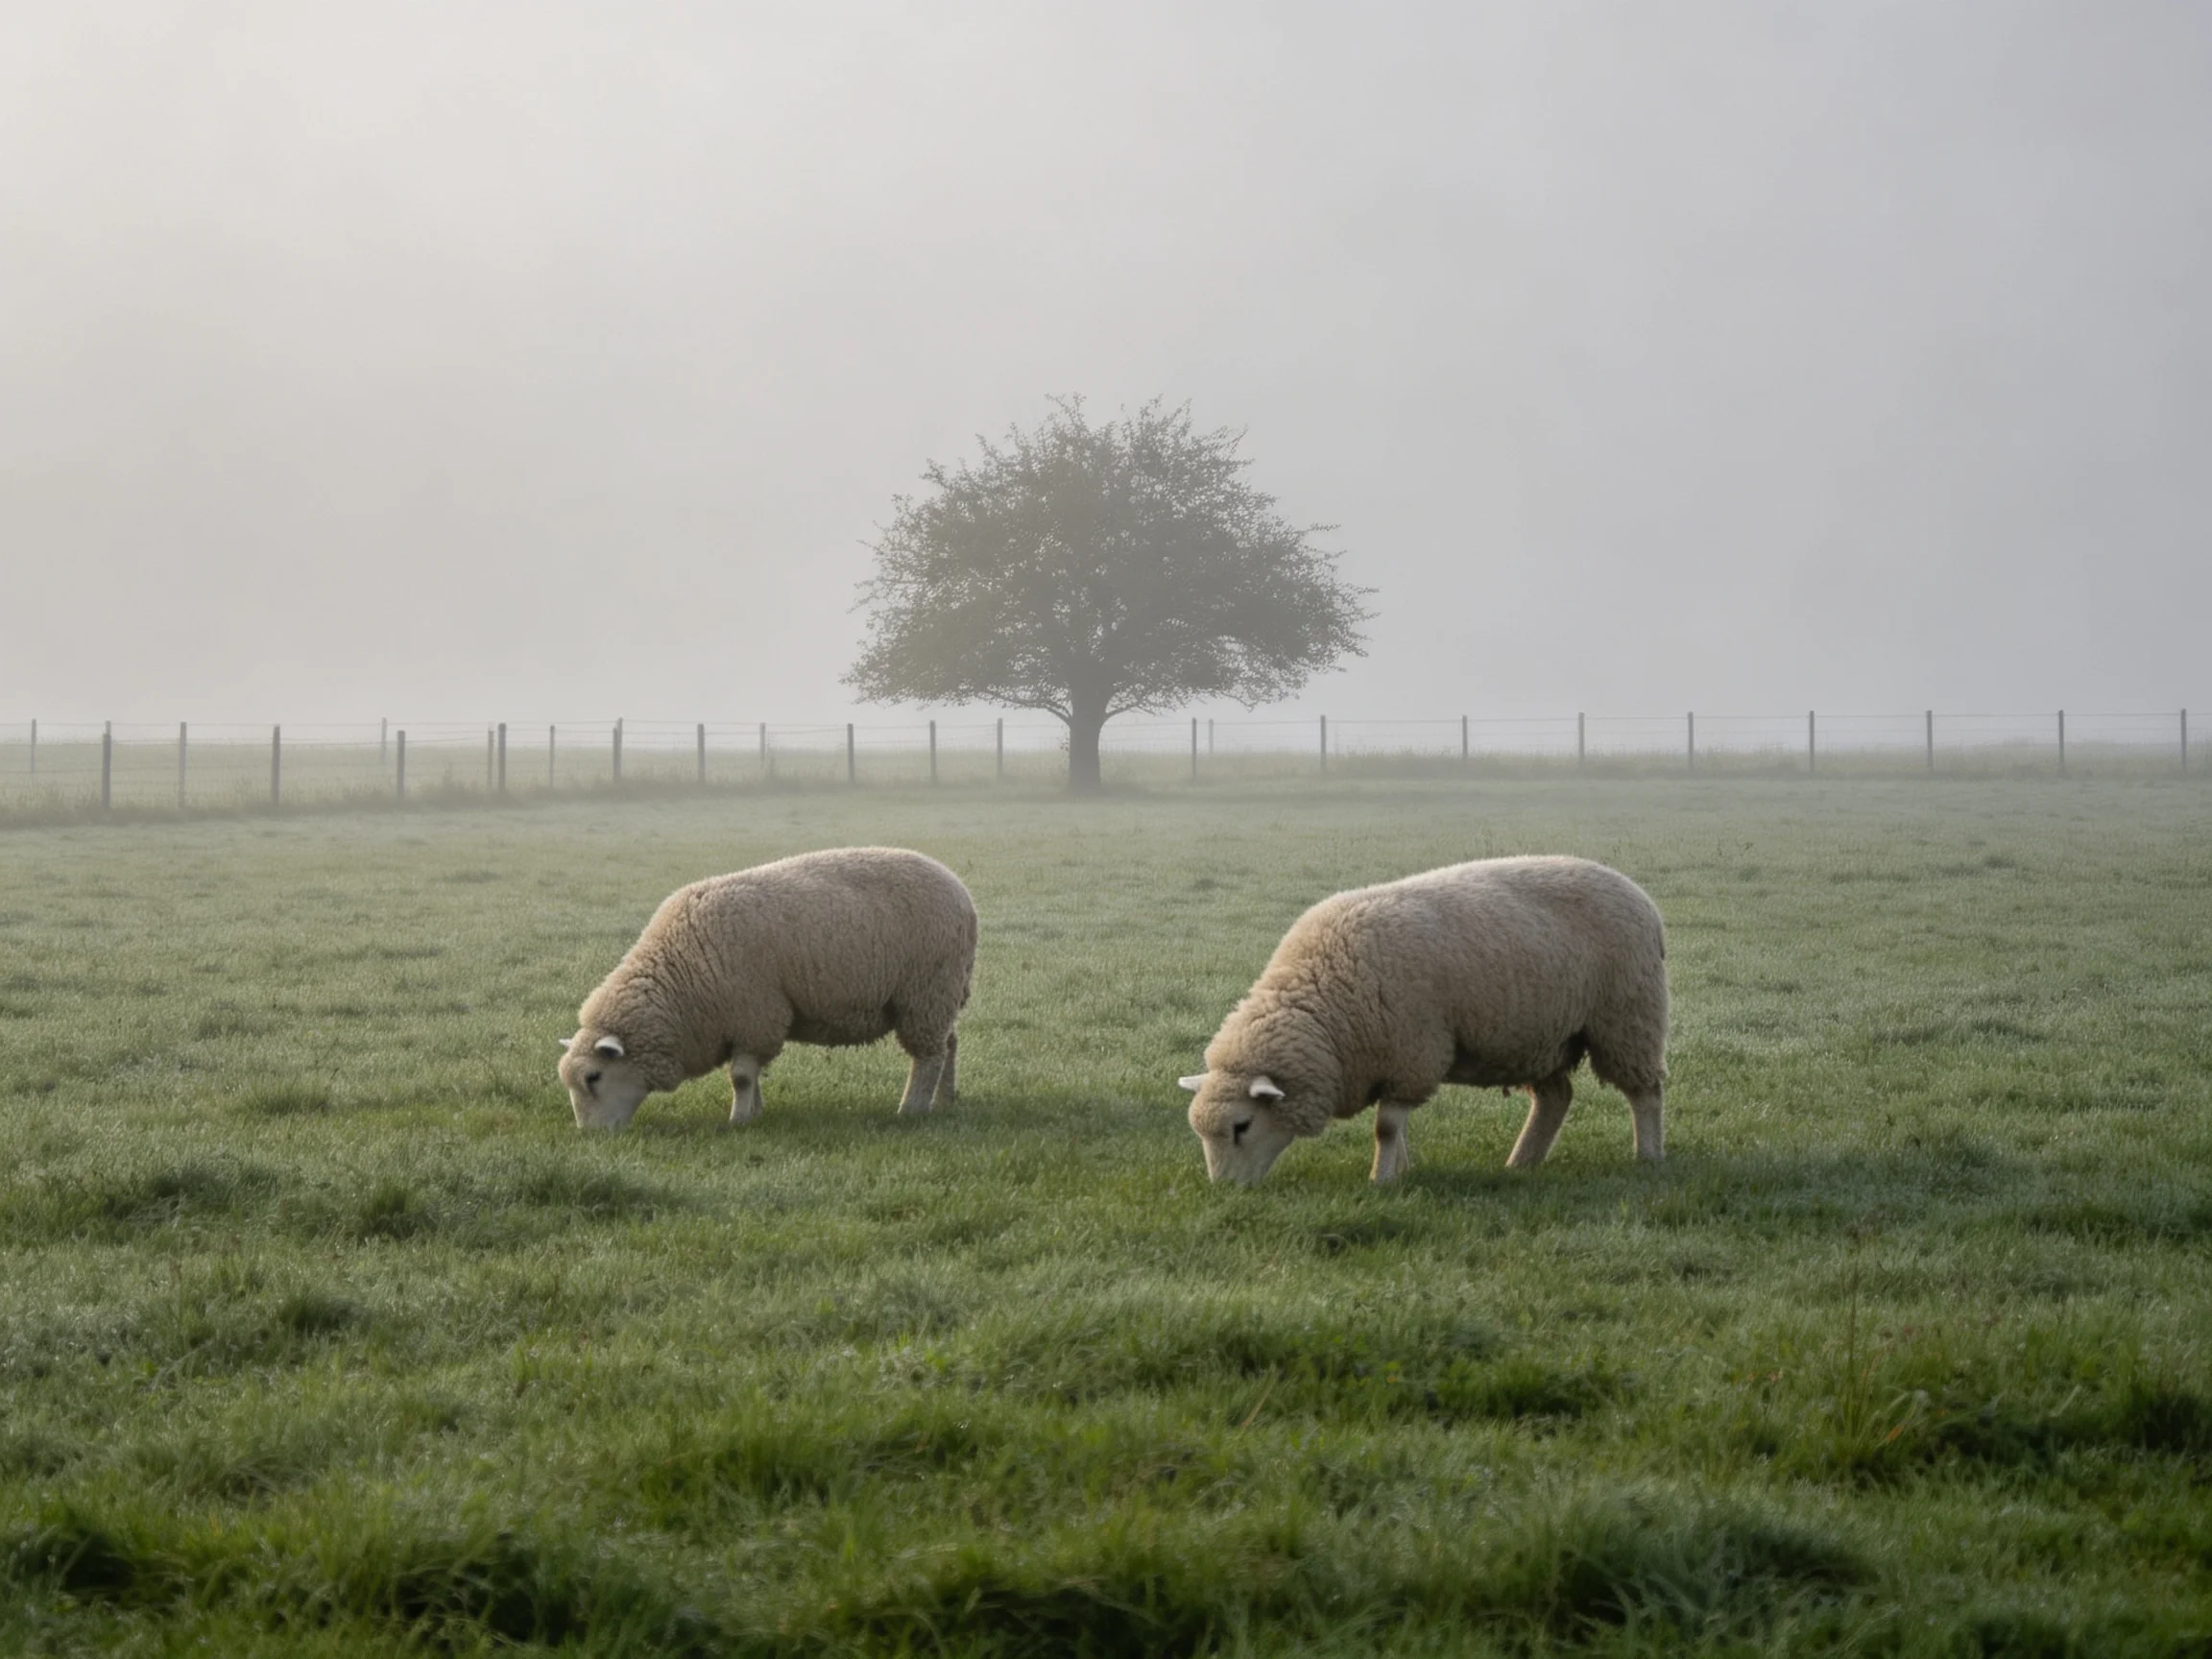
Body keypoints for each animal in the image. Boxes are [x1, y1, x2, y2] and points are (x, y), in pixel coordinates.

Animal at [558, 847, 977, 1130]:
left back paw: (913, 1108)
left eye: (593, 1077)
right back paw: (945, 1099)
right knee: (949, 1044)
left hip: (927, 991)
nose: (590, 1134)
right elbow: (749, 1073)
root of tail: (959, 888)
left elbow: (741, 1076)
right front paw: (754, 1111)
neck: (678, 978)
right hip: (940, 995)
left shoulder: (755, 1016)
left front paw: (740, 1120)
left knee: (928, 1056)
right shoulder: (742, 1025)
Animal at [1178, 856, 1667, 1184]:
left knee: (1645, 1093)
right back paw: (1521, 1163)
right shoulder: (1395, 1060)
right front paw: (1402, 1170)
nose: (1224, 1189)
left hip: (1627, 1019)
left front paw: (1381, 1179)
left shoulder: (1412, 1054)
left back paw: (1647, 1156)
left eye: (1241, 1126)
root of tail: (1634, 890)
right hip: (1540, 1037)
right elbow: (1397, 1128)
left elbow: (1386, 1127)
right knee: (1555, 1098)